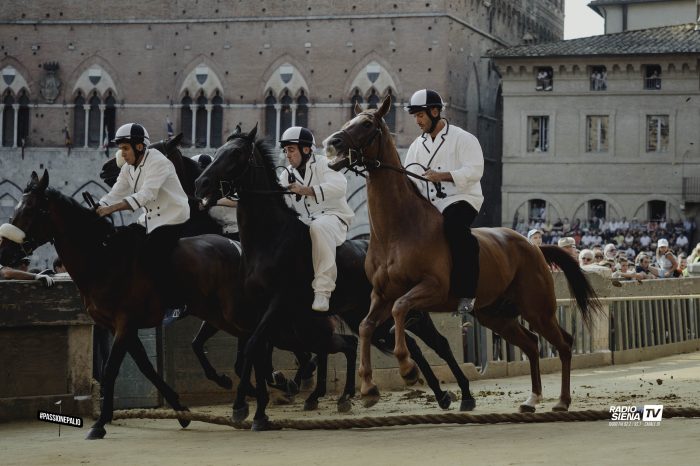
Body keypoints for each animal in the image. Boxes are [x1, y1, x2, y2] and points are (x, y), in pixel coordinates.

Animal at [194, 124, 478, 426]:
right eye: (218, 151)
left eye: (235, 153)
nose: (201, 184)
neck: (270, 240)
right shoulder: (258, 310)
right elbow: (254, 353)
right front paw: (254, 403)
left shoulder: (278, 303)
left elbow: (255, 349)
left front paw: (255, 402)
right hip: (366, 315)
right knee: (402, 343)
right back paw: (432, 393)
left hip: (405, 308)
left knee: (437, 343)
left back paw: (461, 393)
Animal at [322, 94, 600, 412]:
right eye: (349, 121)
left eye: (367, 124)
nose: (333, 142)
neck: (398, 231)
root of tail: (533, 247)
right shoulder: (380, 295)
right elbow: (367, 327)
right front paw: (368, 386)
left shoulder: (430, 288)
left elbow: (399, 310)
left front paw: (407, 368)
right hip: (496, 315)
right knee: (531, 343)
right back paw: (531, 399)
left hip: (537, 309)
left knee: (564, 343)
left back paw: (562, 401)